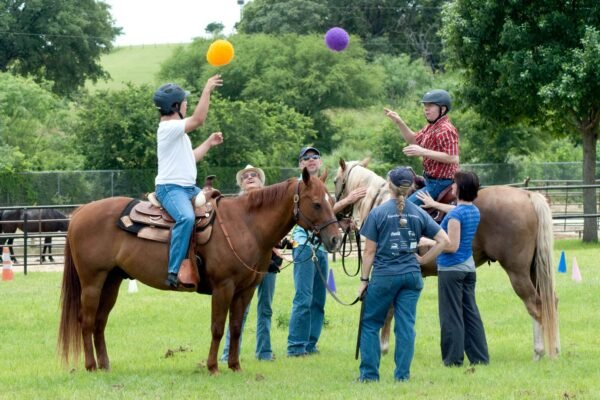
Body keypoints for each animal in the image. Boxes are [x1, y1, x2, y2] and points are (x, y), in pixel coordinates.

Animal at [59, 171, 342, 376]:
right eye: (317, 203)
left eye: (332, 200)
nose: (336, 239)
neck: (245, 225)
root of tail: (80, 213)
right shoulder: (223, 287)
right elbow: (218, 328)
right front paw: (213, 367)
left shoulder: (245, 290)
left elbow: (236, 328)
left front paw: (235, 366)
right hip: (92, 282)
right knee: (87, 321)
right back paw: (90, 366)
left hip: (112, 281)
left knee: (100, 322)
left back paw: (105, 365)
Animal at [336, 159, 560, 360]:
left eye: (336, 180)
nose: (337, 214)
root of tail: (528, 195)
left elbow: (388, 307)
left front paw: (382, 347)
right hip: (533, 270)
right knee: (551, 301)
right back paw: (554, 350)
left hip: (517, 271)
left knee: (535, 304)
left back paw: (539, 352)